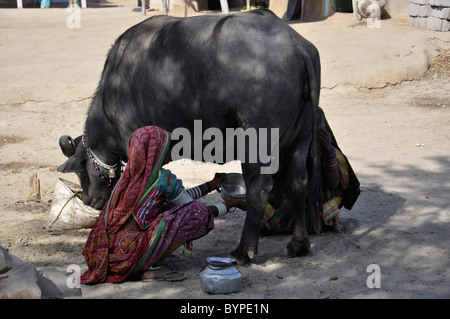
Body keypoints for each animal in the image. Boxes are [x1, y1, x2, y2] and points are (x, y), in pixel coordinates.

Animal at [57, 10, 324, 264]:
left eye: (80, 171)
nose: (89, 199)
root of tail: (294, 42)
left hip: (256, 142)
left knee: (258, 187)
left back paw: (244, 251)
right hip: (301, 138)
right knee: (298, 180)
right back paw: (298, 245)